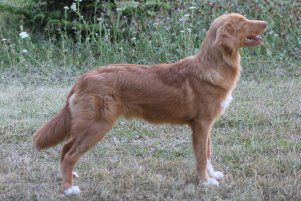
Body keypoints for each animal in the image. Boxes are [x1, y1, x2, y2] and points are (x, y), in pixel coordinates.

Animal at [33, 13, 268, 196]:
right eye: (243, 22)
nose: (265, 23)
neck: (212, 66)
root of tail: (83, 78)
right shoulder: (200, 125)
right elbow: (201, 156)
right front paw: (205, 182)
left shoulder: (207, 125)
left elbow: (208, 153)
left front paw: (212, 175)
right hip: (97, 126)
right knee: (70, 154)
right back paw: (68, 189)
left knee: (65, 149)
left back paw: (69, 176)